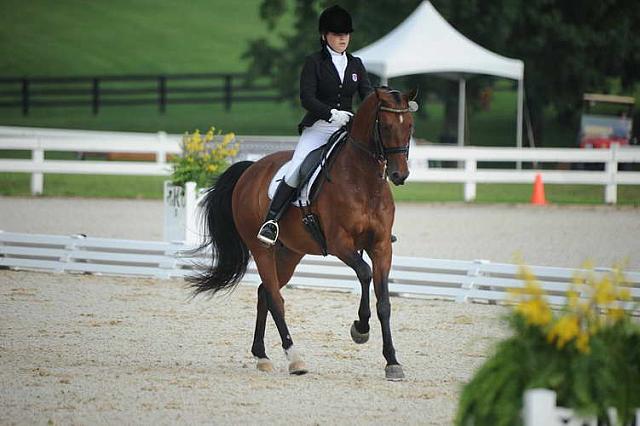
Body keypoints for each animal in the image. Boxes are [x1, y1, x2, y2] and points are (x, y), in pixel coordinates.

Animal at [189, 86, 420, 380]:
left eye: (410, 126)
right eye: (387, 126)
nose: (400, 175)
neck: (364, 181)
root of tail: (250, 170)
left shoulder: (381, 246)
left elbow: (385, 304)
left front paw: (392, 361)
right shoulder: (340, 243)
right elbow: (365, 273)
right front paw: (360, 329)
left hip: (289, 253)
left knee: (265, 292)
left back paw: (262, 355)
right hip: (261, 248)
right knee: (276, 298)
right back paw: (295, 359)